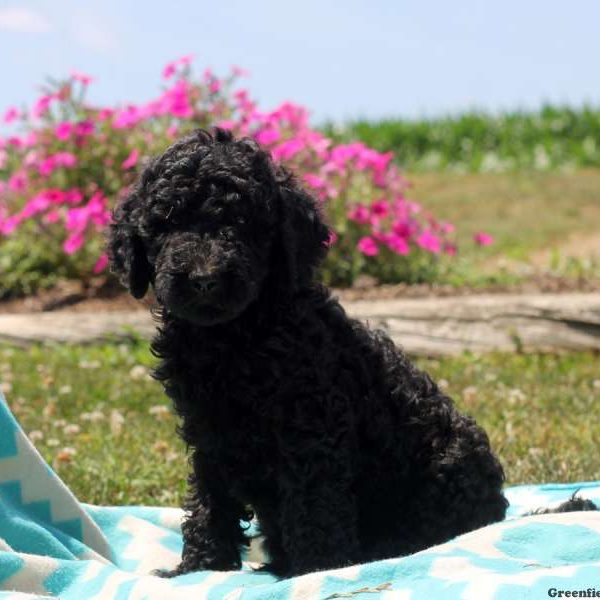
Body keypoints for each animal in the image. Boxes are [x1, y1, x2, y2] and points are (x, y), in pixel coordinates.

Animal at [109, 129, 510, 580]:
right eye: (168, 224)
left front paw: (318, 568)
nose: (204, 279)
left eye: (242, 223)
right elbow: (209, 498)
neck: (232, 337)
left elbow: (313, 501)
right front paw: (200, 568)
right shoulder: (207, 428)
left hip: (447, 466)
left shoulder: (310, 428)